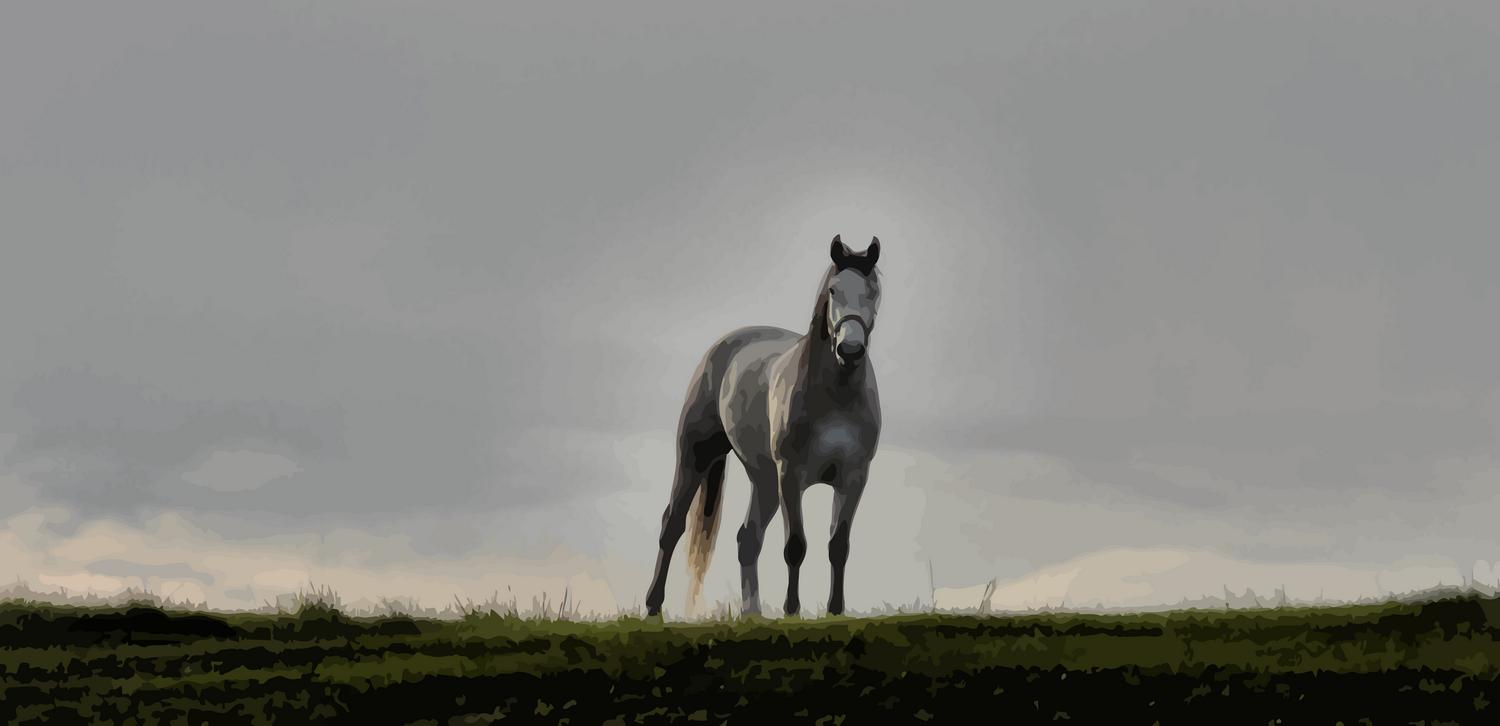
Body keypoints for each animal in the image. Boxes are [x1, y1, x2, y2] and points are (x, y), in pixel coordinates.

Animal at [644, 235, 883, 618]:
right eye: (833, 290)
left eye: (873, 291)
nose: (850, 349)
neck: (836, 395)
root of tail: (721, 347)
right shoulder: (791, 475)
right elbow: (795, 545)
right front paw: (791, 611)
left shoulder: (853, 477)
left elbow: (838, 545)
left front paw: (835, 611)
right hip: (698, 457)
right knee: (673, 525)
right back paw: (653, 606)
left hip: (764, 479)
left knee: (748, 538)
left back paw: (751, 613)